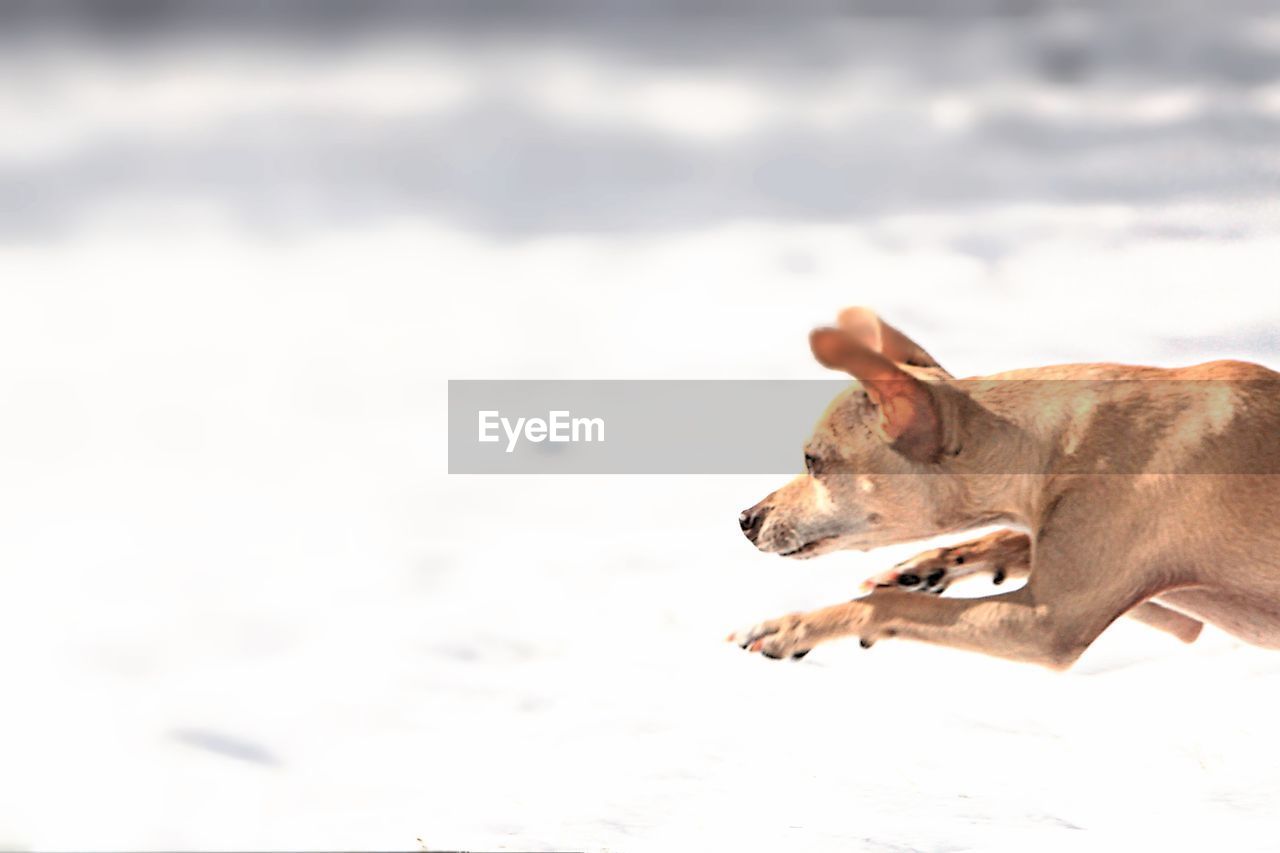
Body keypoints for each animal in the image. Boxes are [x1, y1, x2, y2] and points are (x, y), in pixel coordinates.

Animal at [732, 308, 1280, 666]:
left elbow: (889, 606)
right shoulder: (1172, 610)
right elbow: (1014, 540)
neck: (1053, 446)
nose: (745, 518)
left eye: (813, 461)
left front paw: (791, 627)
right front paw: (928, 568)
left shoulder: (1045, 625)